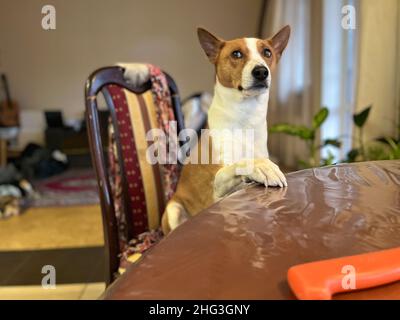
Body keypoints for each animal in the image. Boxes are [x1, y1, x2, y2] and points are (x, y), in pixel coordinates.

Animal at [119, 25, 290, 235]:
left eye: (267, 52)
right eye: (236, 54)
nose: (261, 72)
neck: (245, 118)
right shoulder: (216, 191)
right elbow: (238, 164)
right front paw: (262, 166)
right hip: (173, 209)